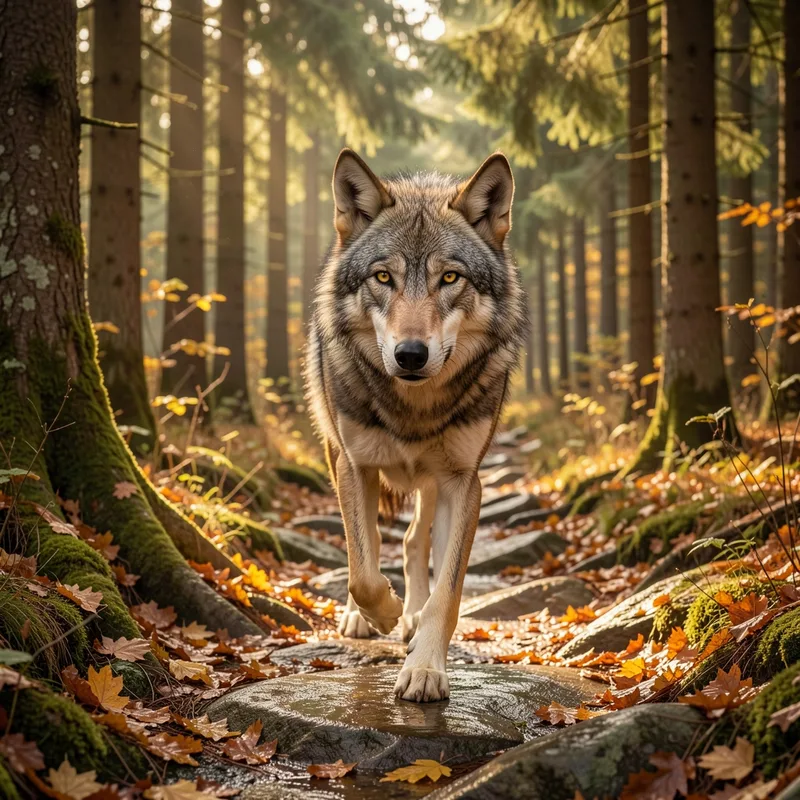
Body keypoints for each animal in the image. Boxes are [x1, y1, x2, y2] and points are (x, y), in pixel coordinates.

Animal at [305, 149, 528, 702]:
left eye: (449, 279)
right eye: (383, 278)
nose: (410, 354)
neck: (413, 406)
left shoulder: (465, 482)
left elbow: (447, 593)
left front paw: (425, 665)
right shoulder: (355, 465)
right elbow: (361, 568)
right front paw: (381, 614)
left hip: (431, 482)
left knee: (411, 541)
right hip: (337, 453)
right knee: (368, 543)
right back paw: (366, 618)